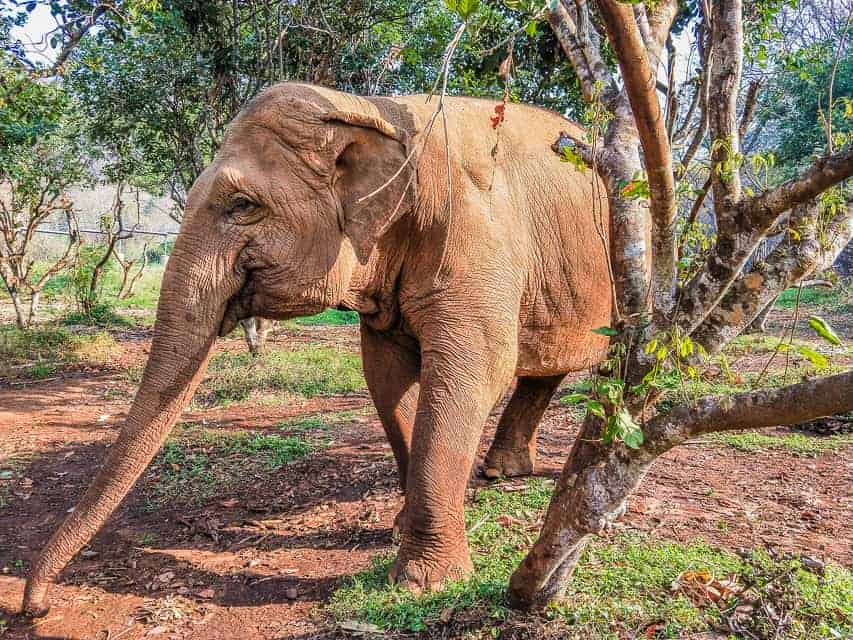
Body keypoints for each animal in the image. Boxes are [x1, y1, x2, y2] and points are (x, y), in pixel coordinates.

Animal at [22, 82, 611, 615]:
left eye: (241, 204)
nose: (35, 607)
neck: (371, 108)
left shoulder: (477, 237)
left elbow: (471, 375)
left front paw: (422, 584)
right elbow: (386, 377)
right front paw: (399, 528)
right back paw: (503, 472)